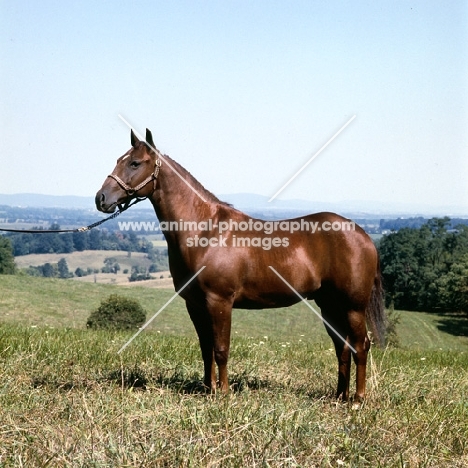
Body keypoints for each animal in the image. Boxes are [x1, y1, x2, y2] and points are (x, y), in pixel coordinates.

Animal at [95, 128, 384, 402]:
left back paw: (357, 399)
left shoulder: (219, 301)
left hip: (353, 307)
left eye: (135, 163)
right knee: (342, 348)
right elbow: (206, 349)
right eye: (119, 160)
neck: (205, 230)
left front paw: (223, 393)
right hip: (330, 306)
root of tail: (363, 235)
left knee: (361, 345)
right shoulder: (195, 305)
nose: (101, 198)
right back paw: (339, 397)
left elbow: (221, 349)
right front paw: (208, 389)